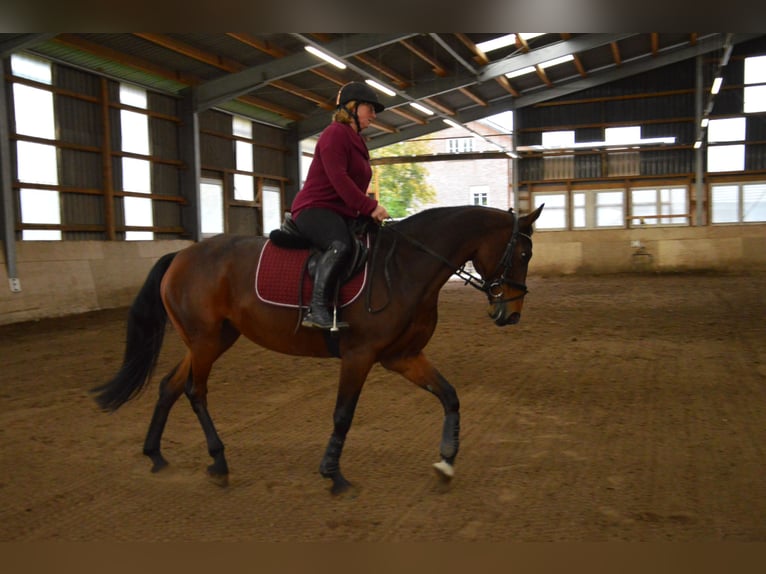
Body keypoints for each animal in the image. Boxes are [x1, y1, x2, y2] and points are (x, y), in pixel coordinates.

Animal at [91, 204, 544, 496]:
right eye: (522, 253)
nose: (511, 314)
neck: (406, 267)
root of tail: (181, 255)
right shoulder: (360, 355)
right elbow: (343, 415)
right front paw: (334, 476)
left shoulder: (402, 357)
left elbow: (450, 396)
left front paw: (446, 464)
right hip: (204, 340)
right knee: (194, 391)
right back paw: (218, 463)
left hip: (214, 338)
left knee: (170, 385)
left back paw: (155, 455)